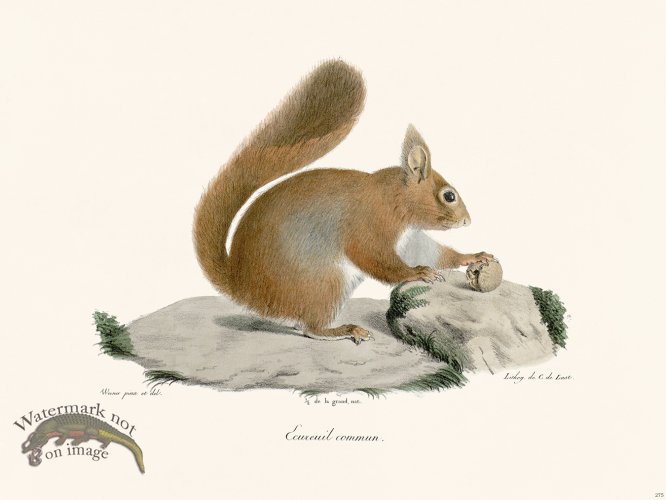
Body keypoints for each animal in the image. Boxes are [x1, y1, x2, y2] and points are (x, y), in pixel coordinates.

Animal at [193, 60, 493, 344]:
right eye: (449, 196)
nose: (468, 220)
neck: (394, 197)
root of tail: (243, 287)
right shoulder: (370, 224)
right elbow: (376, 259)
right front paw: (416, 273)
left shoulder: (410, 238)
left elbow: (435, 253)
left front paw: (473, 256)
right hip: (325, 283)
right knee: (310, 329)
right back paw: (347, 330)